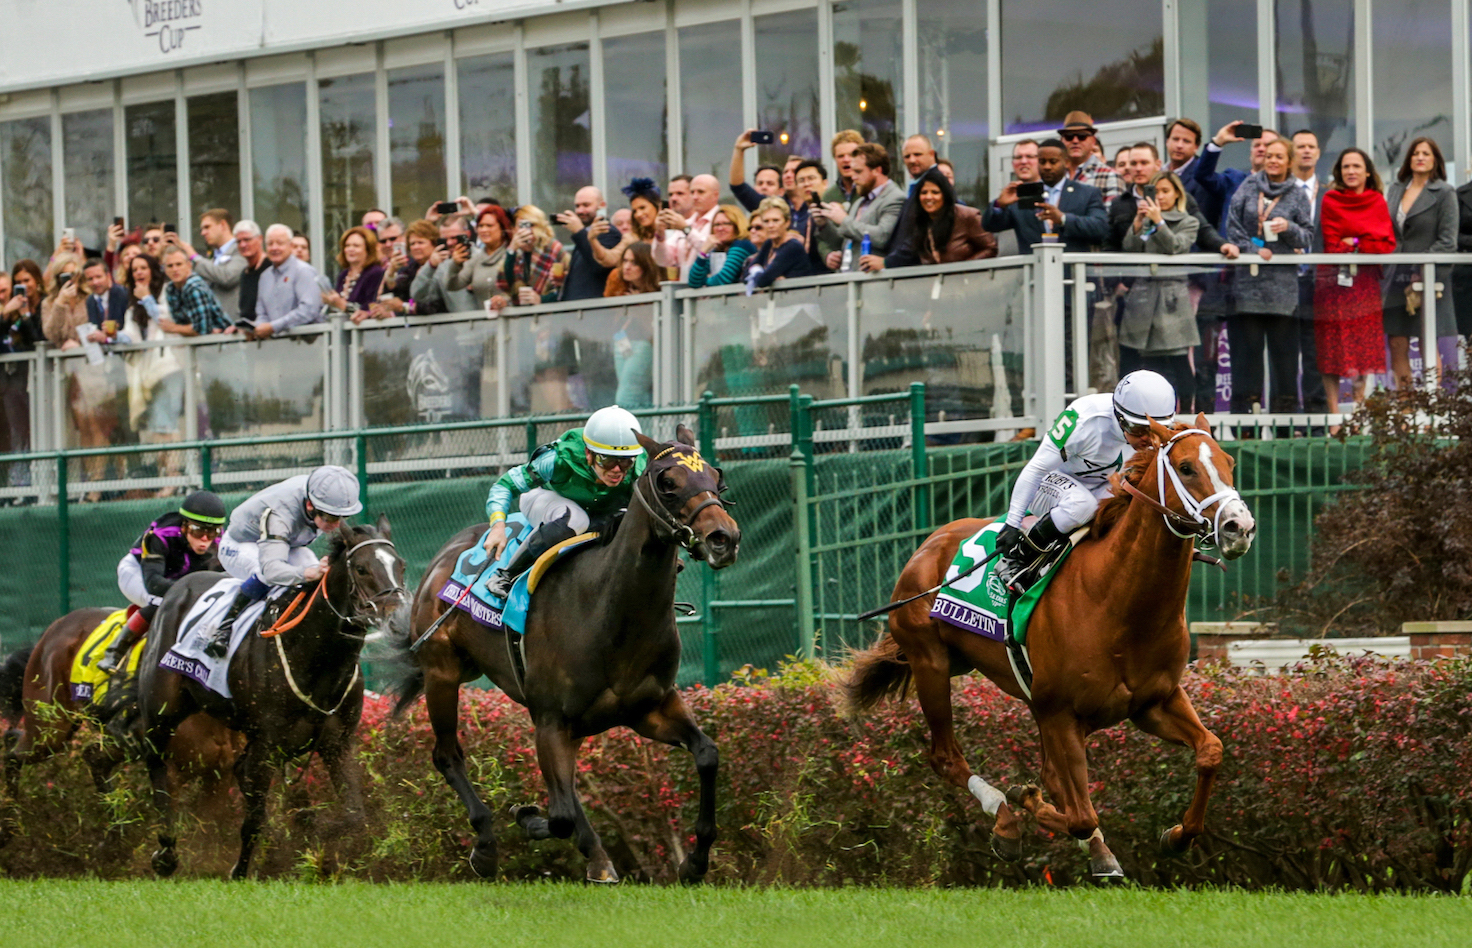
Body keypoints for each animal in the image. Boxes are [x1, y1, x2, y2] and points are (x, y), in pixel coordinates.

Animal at [2, 606, 241, 836]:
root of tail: (55, 626)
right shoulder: (172, 772)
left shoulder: (220, 775)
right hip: (49, 727)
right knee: (12, 750)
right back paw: (9, 825)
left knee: (93, 757)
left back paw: (116, 834)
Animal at [141, 515, 406, 877]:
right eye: (363, 568)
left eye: (401, 566)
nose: (398, 617)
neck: (316, 657)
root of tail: (177, 587)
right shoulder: (268, 744)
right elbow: (253, 820)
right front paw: (240, 870)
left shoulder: (336, 742)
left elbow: (353, 815)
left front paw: (309, 832)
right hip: (162, 708)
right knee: (156, 762)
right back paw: (166, 852)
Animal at [385, 421, 741, 883]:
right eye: (668, 482)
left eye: (716, 477)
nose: (724, 538)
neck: (610, 610)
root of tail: (444, 556)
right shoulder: (551, 718)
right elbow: (559, 816)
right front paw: (525, 815)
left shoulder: (650, 707)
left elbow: (707, 755)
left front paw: (695, 861)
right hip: (441, 673)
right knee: (448, 756)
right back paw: (486, 845)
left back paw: (598, 858)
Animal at [847, 421, 1260, 883]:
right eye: (1186, 467)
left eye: (1229, 462)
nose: (1239, 527)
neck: (1117, 602)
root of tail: (927, 546)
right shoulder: (1060, 711)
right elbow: (1080, 815)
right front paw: (1032, 811)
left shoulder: (1153, 702)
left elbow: (1210, 751)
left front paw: (1177, 835)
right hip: (931, 664)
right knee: (946, 757)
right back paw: (1005, 818)